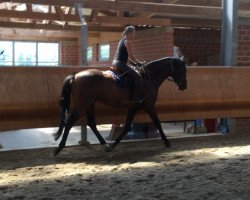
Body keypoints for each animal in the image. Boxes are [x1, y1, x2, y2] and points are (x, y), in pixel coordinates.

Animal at [53, 57, 187, 155]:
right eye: (182, 70)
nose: (184, 86)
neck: (149, 78)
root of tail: (75, 76)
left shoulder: (134, 107)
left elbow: (127, 126)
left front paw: (113, 145)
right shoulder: (149, 105)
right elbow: (157, 123)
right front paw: (167, 142)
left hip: (89, 104)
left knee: (91, 123)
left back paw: (105, 144)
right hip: (82, 105)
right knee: (69, 123)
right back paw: (59, 148)